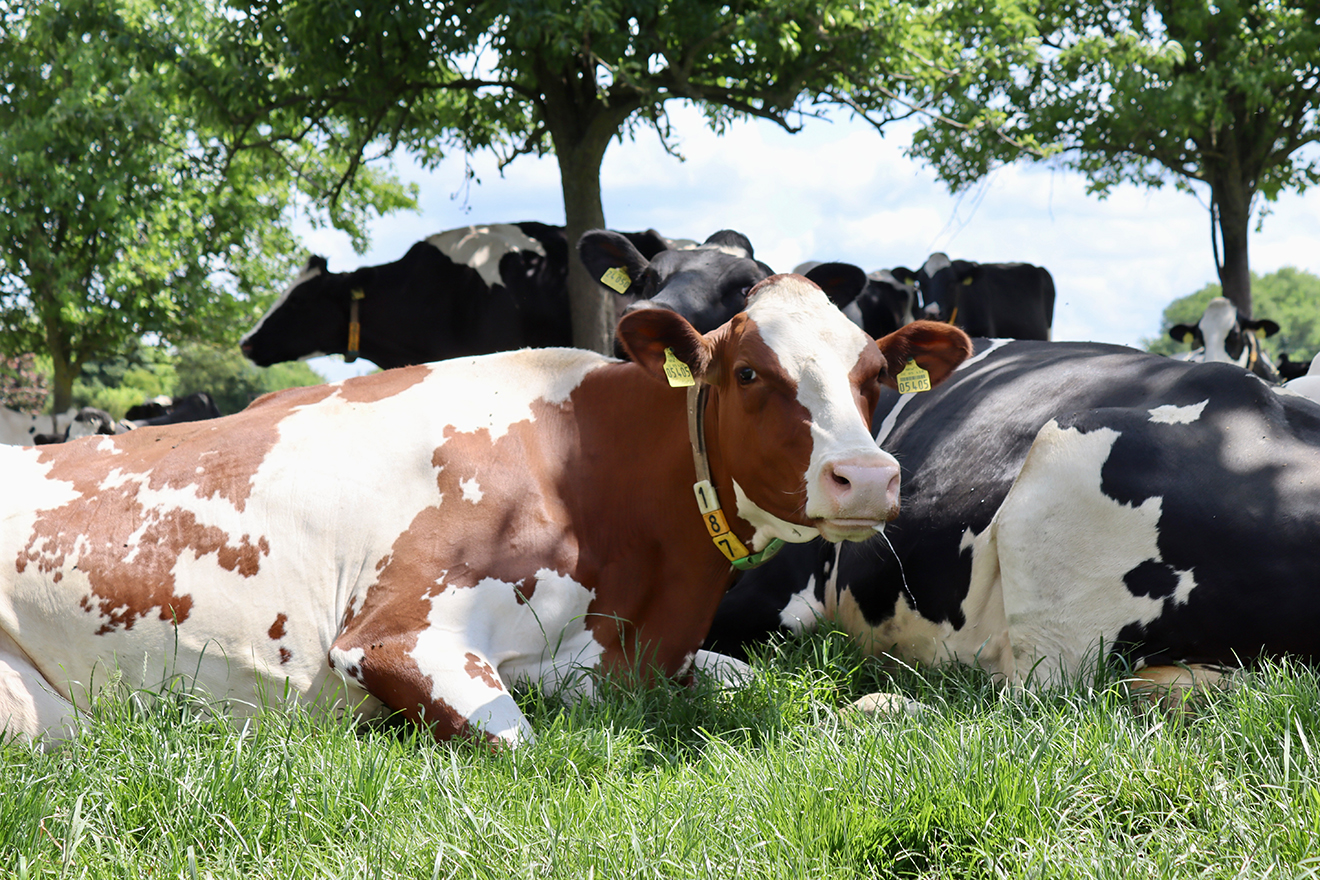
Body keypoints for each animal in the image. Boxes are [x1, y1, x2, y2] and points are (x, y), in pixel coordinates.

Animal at [0, 274, 972, 747]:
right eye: (747, 373)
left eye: (873, 375)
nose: (867, 476)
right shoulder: (399, 633)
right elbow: (531, 747)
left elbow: (770, 682)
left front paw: (895, 709)